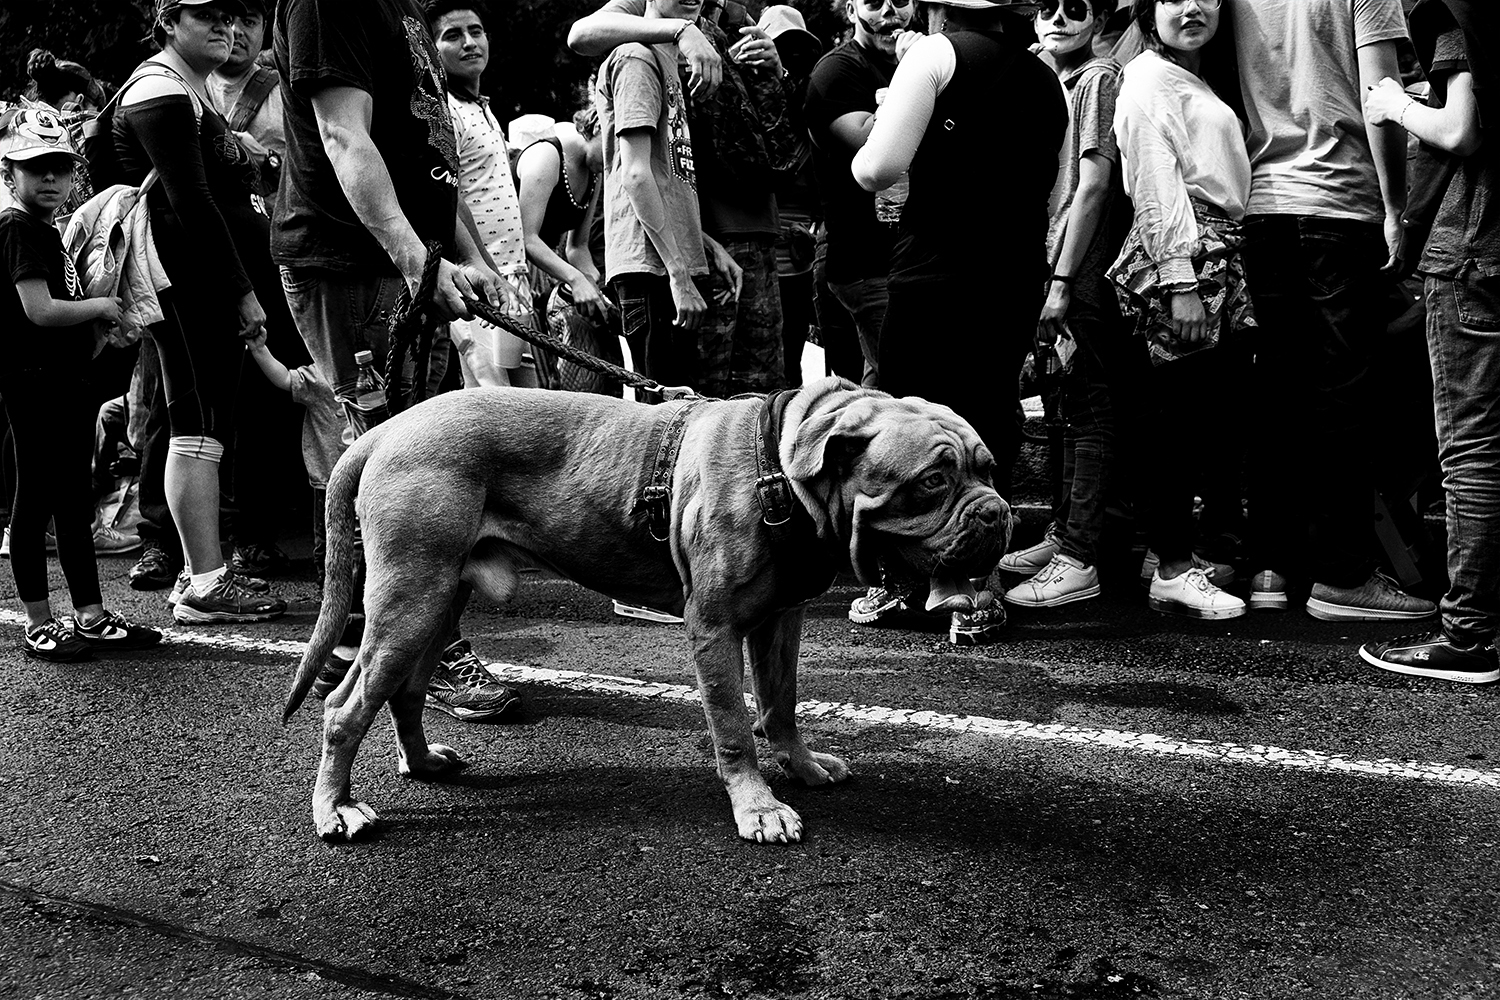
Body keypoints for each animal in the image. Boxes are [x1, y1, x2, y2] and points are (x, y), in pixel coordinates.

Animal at [282, 374, 1008, 845]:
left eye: (989, 468)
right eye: (932, 481)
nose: (998, 513)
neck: (783, 470)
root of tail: (382, 430)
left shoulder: (781, 621)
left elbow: (779, 705)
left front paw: (800, 767)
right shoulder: (714, 627)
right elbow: (734, 725)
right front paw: (757, 808)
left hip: (437, 597)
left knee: (402, 692)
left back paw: (424, 763)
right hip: (408, 599)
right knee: (345, 707)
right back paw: (334, 810)